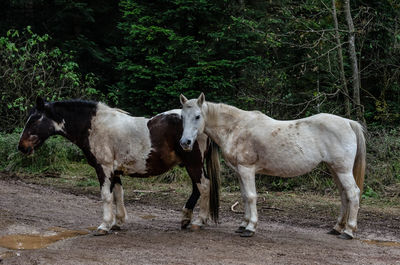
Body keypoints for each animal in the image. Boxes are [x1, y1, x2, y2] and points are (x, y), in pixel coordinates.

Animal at [18, 98, 219, 234]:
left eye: (35, 119)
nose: (21, 147)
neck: (95, 126)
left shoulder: (104, 168)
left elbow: (106, 196)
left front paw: (104, 225)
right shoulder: (114, 171)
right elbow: (118, 194)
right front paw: (118, 222)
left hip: (193, 163)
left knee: (204, 186)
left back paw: (198, 221)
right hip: (192, 165)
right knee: (197, 188)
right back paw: (185, 218)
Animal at [178, 93, 366, 239]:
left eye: (197, 116)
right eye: (182, 117)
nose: (185, 143)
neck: (236, 128)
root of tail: (348, 122)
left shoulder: (246, 169)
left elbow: (251, 196)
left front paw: (250, 227)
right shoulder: (239, 171)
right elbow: (245, 196)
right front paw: (243, 224)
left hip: (343, 170)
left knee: (353, 194)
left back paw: (348, 231)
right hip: (335, 170)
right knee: (344, 195)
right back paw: (337, 228)